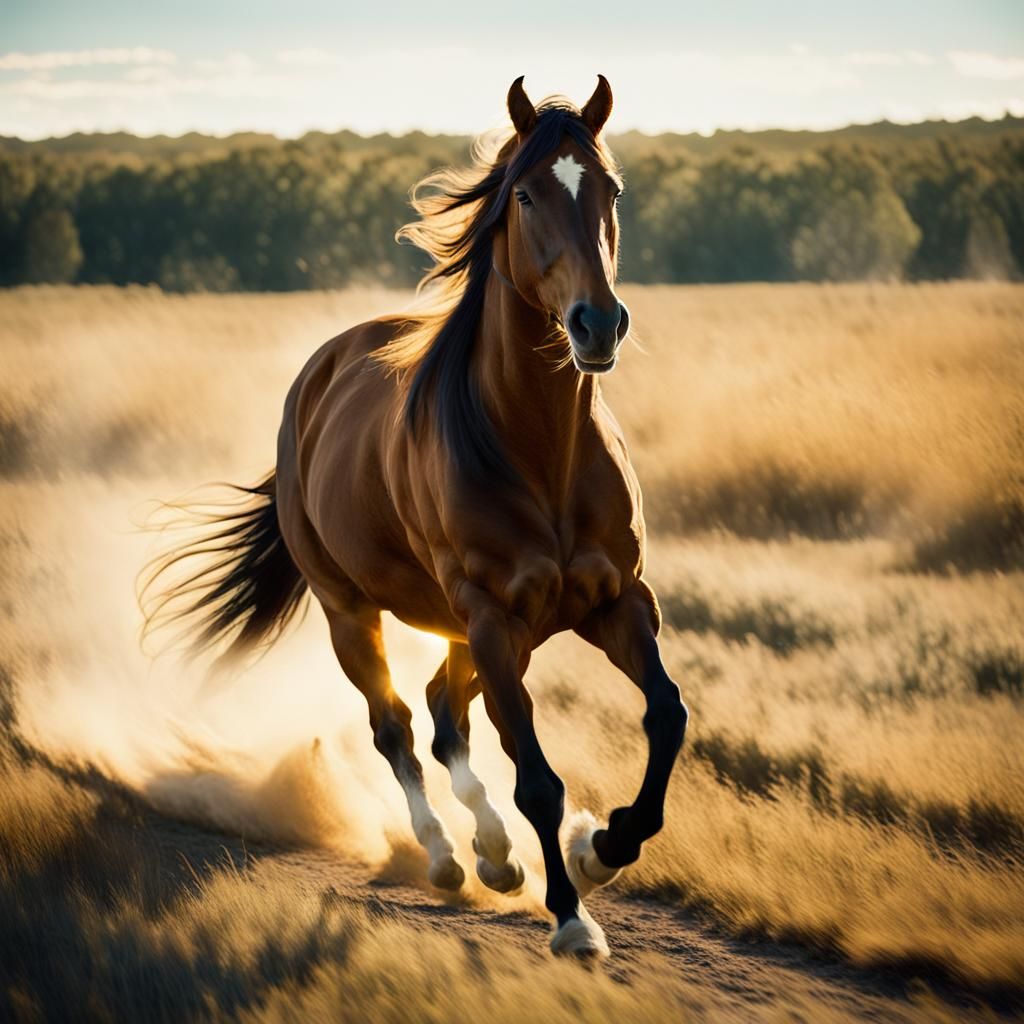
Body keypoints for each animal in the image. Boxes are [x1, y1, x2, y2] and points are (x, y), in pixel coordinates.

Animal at [142, 75, 688, 958]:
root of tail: (312, 387)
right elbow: (534, 777)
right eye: (526, 194)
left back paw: (495, 854)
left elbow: (667, 716)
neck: (539, 451)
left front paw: (600, 848)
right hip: (355, 614)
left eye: (610, 190)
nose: (597, 324)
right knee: (398, 725)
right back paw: (446, 857)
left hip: (479, 629)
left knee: (441, 714)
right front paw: (572, 918)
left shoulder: (616, 601)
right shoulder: (493, 617)